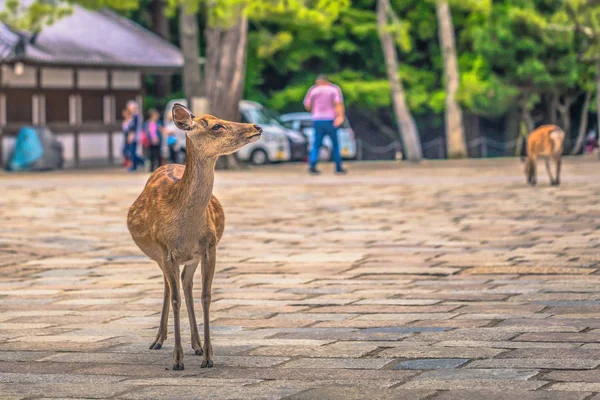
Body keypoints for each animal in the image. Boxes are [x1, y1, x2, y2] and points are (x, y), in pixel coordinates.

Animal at [126, 104, 262, 368]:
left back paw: (196, 345)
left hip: (191, 258)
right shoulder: (165, 251)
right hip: (159, 256)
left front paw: (209, 356)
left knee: (185, 284)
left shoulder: (209, 247)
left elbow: (206, 296)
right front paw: (177, 360)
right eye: (216, 126)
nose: (257, 126)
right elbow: (176, 299)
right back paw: (158, 341)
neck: (184, 229)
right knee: (170, 287)